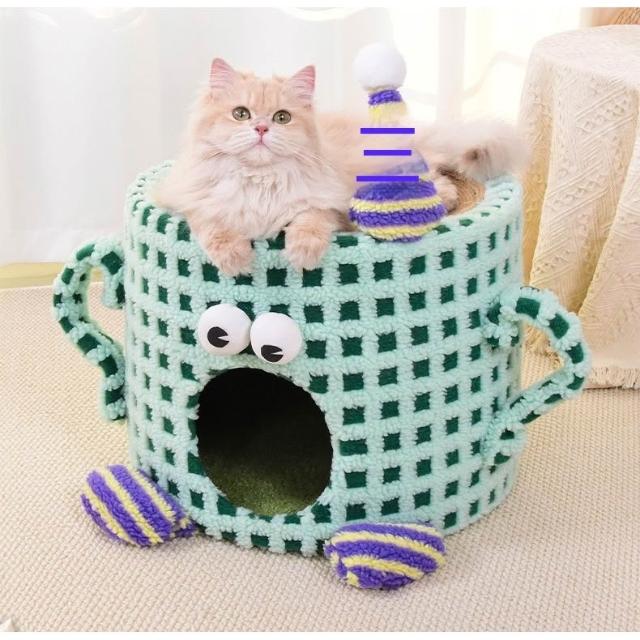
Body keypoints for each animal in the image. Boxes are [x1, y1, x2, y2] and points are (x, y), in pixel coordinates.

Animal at [153, 58, 527, 276]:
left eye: (282, 118)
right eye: (240, 114)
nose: (260, 129)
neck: (260, 180)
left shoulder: (328, 204)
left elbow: (310, 221)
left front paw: (301, 254)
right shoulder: (191, 201)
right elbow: (213, 225)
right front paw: (236, 260)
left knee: (439, 180)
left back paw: (446, 199)